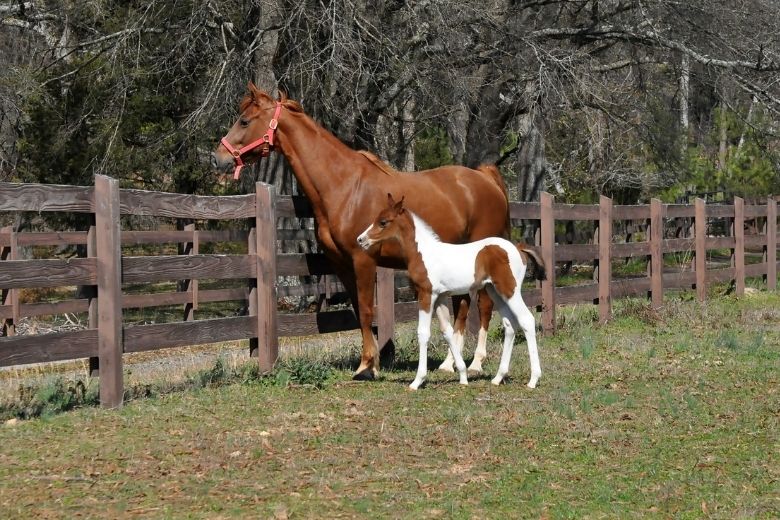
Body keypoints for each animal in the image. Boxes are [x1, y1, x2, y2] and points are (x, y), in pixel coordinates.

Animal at [210, 83, 508, 380]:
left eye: (244, 121)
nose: (218, 158)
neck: (345, 187)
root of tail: (485, 178)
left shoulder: (363, 260)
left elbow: (366, 310)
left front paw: (368, 367)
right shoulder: (342, 264)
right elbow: (357, 309)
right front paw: (369, 362)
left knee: (483, 305)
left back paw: (476, 363)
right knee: (462, 304)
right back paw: (449, 364)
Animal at [358, 195, 544, 390]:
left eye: (383, 222)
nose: (360, 240)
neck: (424, 253)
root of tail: (518, 248)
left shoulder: (426, 294)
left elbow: (423, 333)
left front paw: (418, 381)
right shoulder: (440, 297)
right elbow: (448, 331)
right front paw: (462, 375)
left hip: (510, 290)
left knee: (527, 320)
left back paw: (533, 379)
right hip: (494, 291)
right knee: (509, 324)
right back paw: (498, 377)